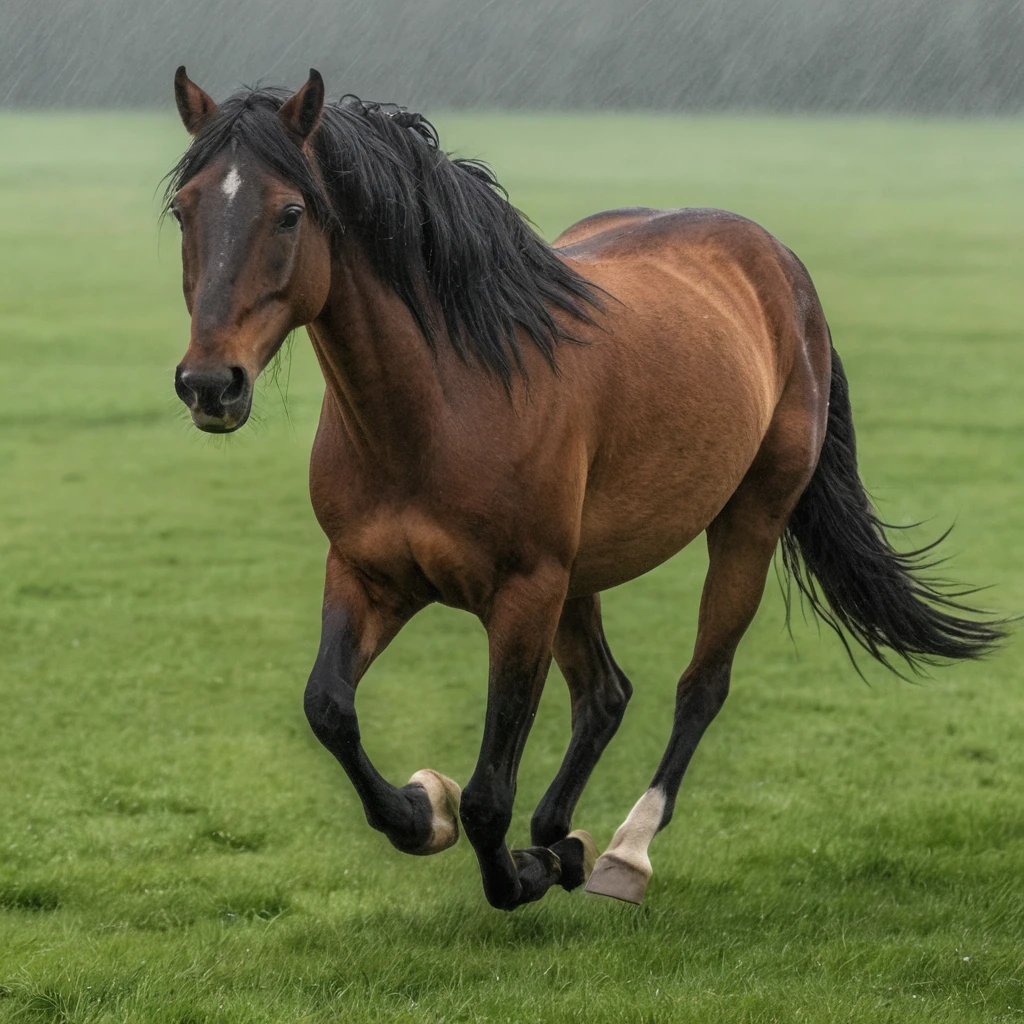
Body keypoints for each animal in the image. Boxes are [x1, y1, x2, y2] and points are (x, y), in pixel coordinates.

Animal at [166, 68, 1005, 910]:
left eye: (290, 212)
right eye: (183, 208)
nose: (210, 384)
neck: (445, 403)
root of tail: (781, 266)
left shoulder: (525, 593)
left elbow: (488, 795)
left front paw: (525, 864)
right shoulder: (368, 576)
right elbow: (329, 710)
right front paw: (425, 813)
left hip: (746, 525)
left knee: (699, 687)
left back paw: (621, 853)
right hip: (583, 576)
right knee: (606, 694)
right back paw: (561, 838)